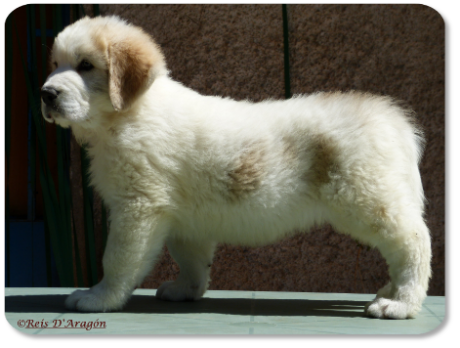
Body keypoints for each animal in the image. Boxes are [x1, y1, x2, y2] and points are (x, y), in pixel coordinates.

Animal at [40, 17, 432, 320]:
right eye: (55, 64)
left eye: (85, 65)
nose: (46, 93)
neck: (128, 115)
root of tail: (392, 119)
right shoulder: (183, 217)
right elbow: (191, 259)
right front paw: (187, 290)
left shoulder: (137, 207)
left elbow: (117, 258)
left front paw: (99, 297)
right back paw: (389, 290)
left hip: (367, 199)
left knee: (413, 241)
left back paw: (400, 303)